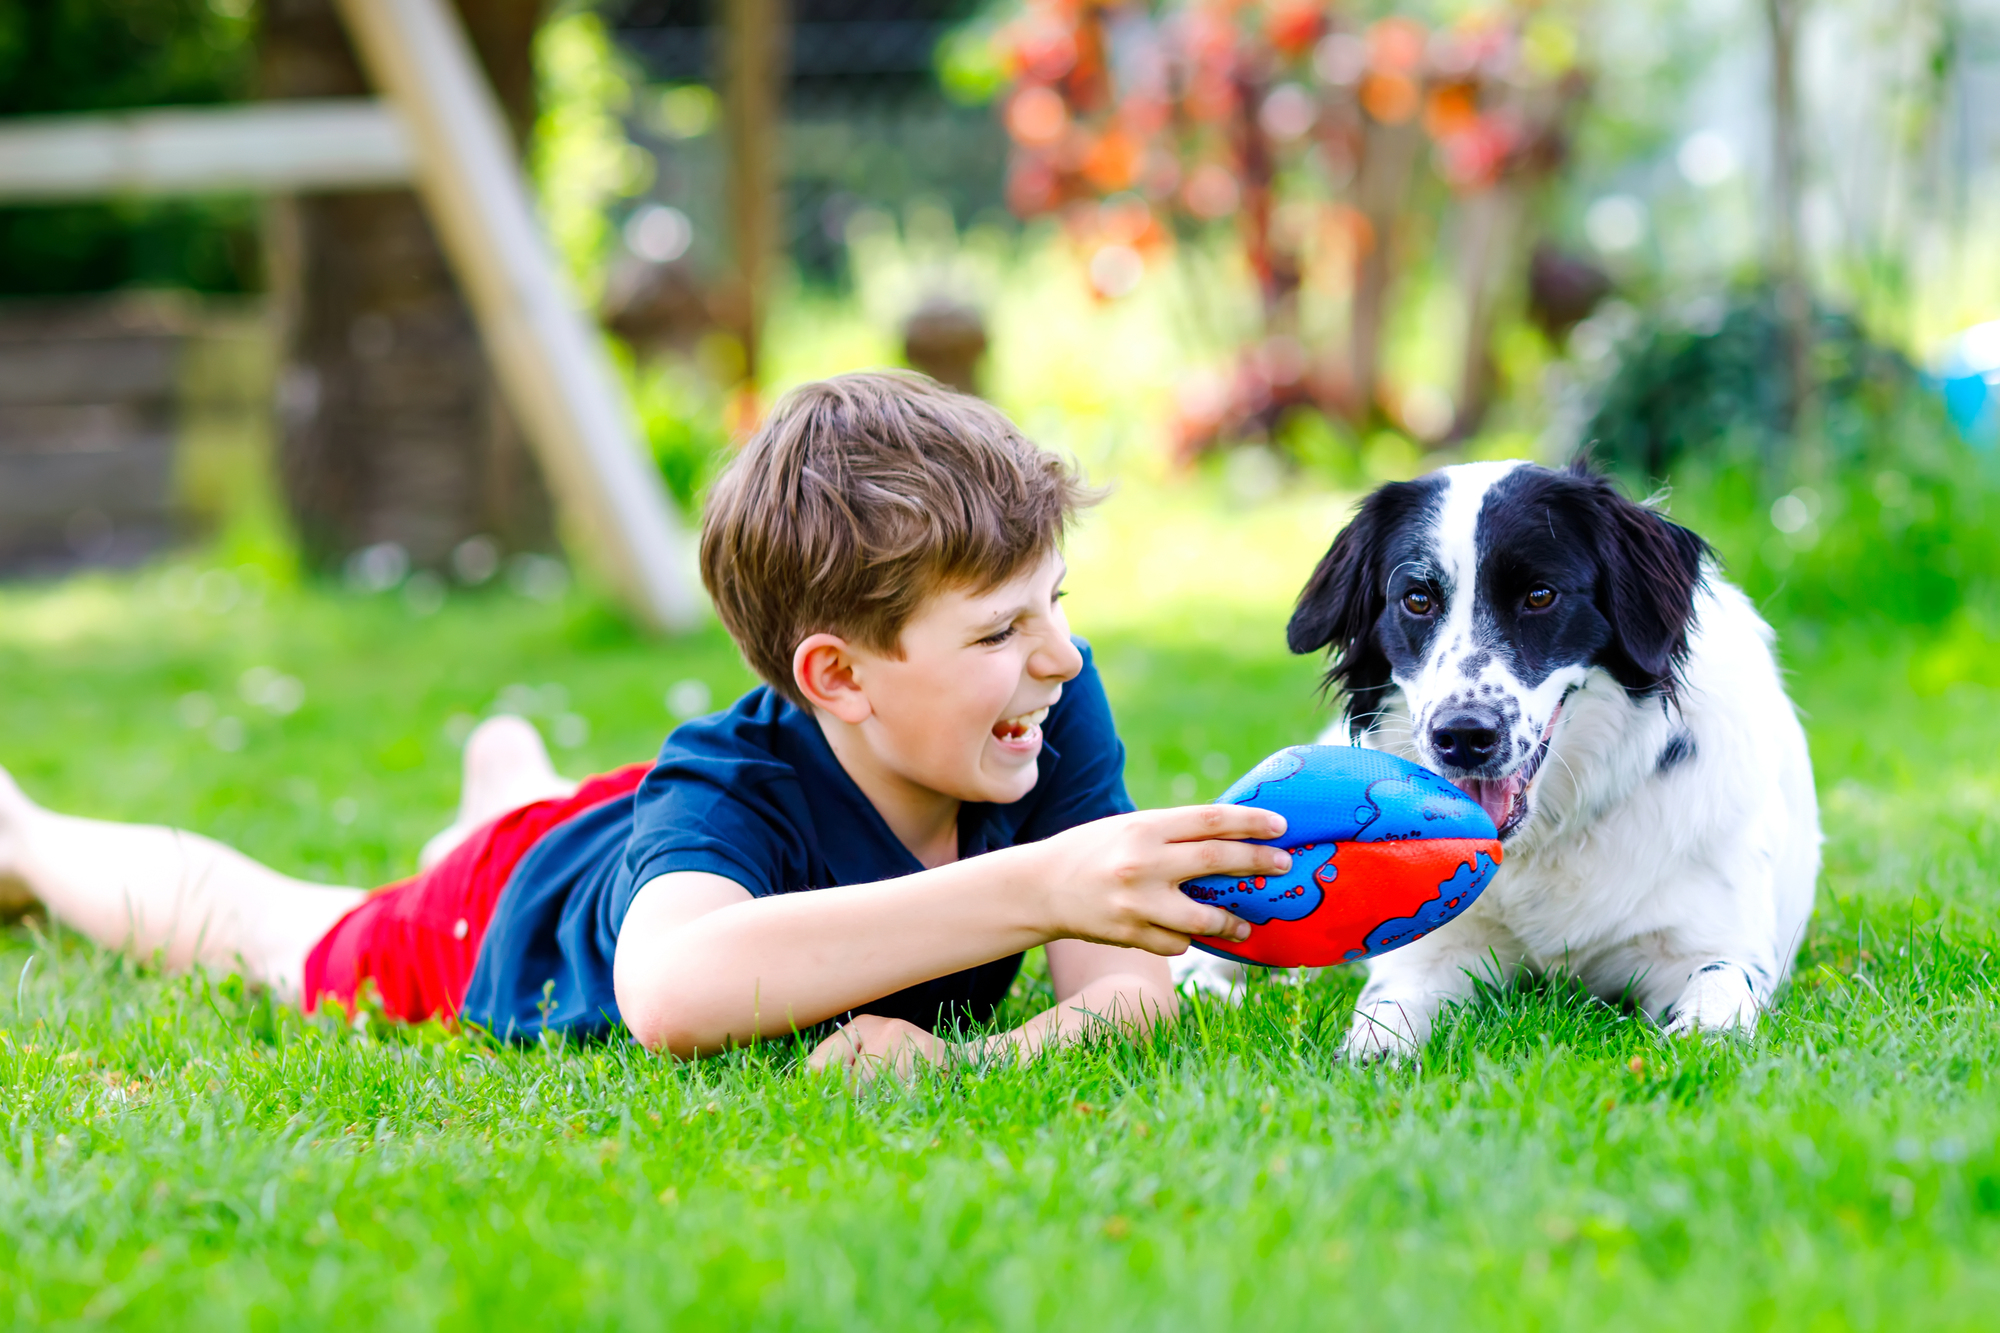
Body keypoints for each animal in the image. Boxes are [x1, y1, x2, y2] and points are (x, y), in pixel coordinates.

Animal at [1168, 460, 1832, 1056]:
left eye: (1540, 595)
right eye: (1416, 599)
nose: (1462, 735)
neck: (1552, 836)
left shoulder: (1714, 947)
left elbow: (1718, 1003)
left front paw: (1698, 1039)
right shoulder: (1436, 950)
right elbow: (1387, 1010)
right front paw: (1371, 1051)